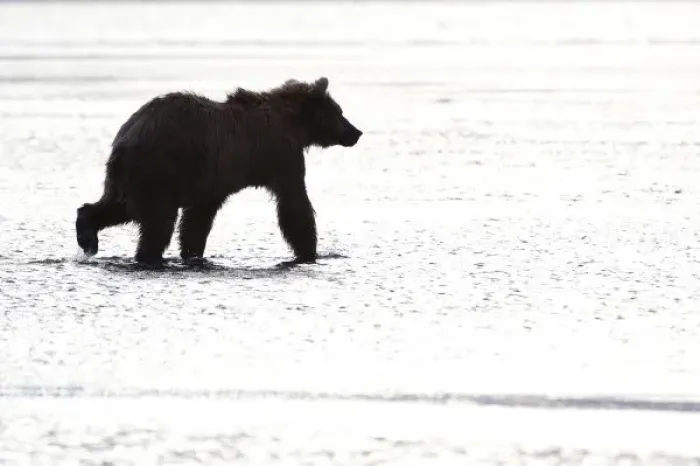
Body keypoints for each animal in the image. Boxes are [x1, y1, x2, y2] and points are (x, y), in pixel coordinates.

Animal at [75, 77, 362, 267]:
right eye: (340, 112)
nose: (356, 132)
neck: (295, 125)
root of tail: (125, 137)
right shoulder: (281, 157)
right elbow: (294, 204)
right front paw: (310, 251)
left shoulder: (212, 181)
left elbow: (197, 219)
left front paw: (192, 251)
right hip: (157, 172)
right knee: (158, 222)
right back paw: (146, 255)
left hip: (130, 178)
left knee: (115, 207)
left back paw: (87, 237)